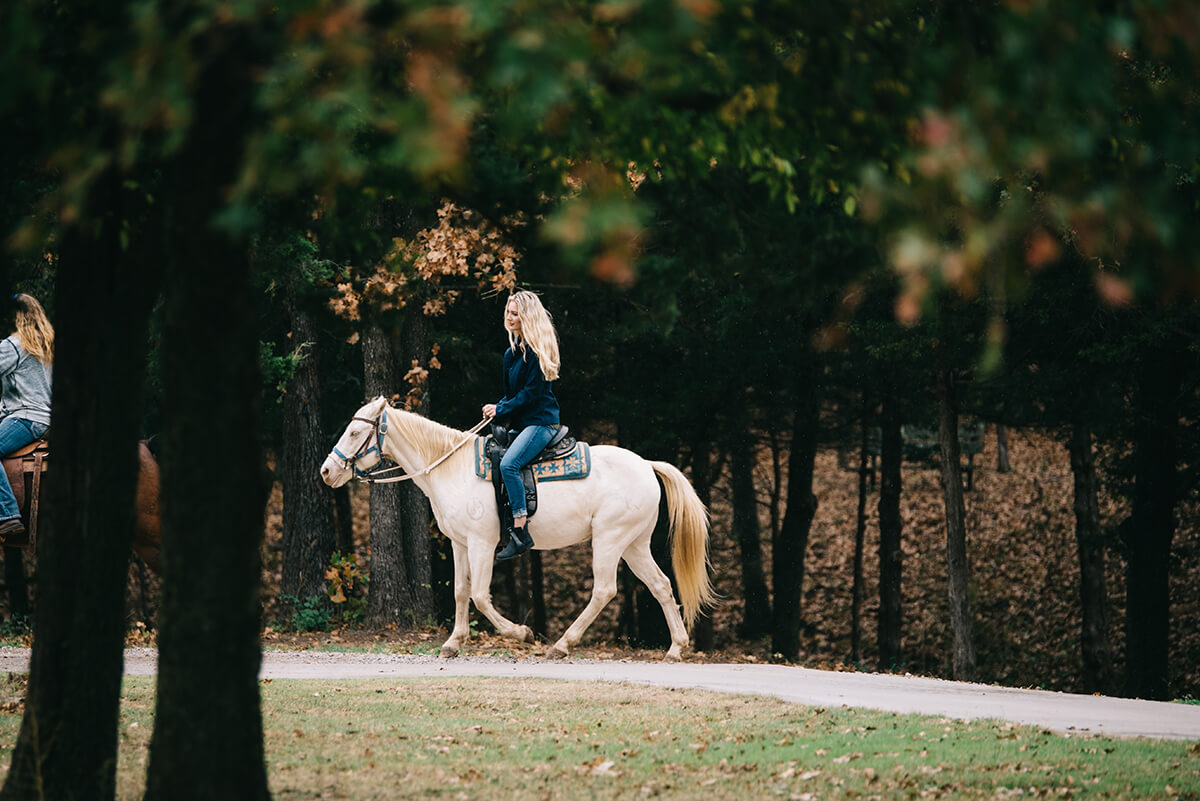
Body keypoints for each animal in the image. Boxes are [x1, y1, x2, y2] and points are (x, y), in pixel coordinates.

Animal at [319, 395, 715, 661]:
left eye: (355, 432)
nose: (326, 471)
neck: (451, 467)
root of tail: (647, 465)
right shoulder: (460, 544)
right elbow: (461, 593)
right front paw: (452, 643)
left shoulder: (482, 543)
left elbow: (480, 595)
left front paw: (521, 633)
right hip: (634, 545)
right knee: (661, 585)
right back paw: (676, 648)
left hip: (609, 540)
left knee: (604, 590)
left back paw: (561, 645)